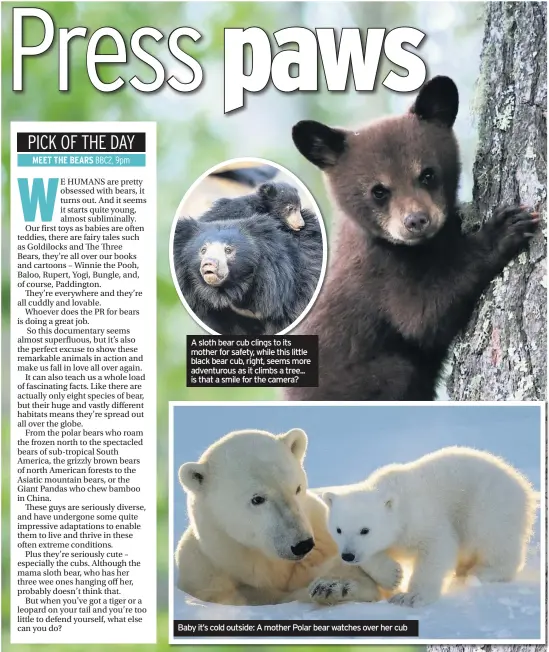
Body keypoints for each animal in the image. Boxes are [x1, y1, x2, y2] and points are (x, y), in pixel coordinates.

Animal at [284, 76, 536, 402]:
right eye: (378, 191)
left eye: (427, 174)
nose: (416, 220)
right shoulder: (380, 272)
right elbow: (422, 315)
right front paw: (503, 228)